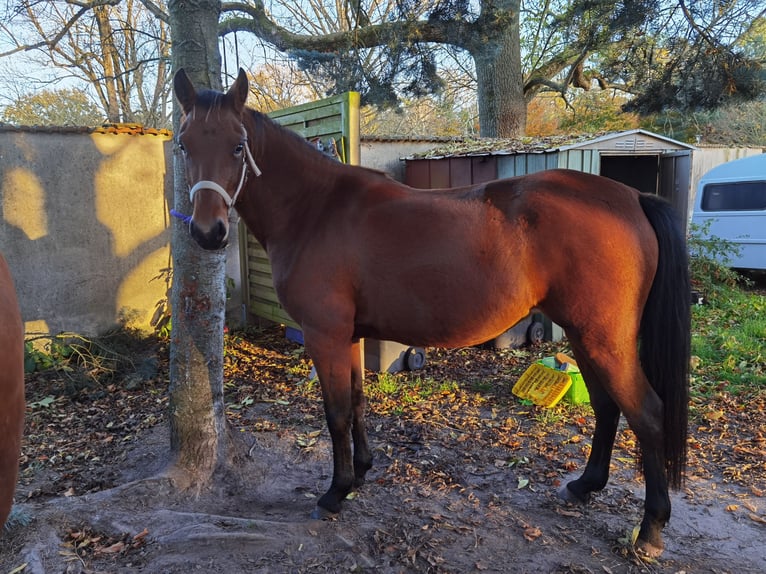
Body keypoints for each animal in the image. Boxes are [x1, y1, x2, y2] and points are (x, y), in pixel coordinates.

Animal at [177, 67, 692, 560]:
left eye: (238, 146)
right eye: (184, 144)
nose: (207, 232)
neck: (316, 209)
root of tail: (631, 198)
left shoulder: (325, 334)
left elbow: (336, 412)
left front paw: (335, 492)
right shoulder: (349, 336)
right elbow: (358, 401)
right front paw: (361, 472)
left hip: (604, 338)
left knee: (646, 414)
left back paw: (650, 529)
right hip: (583, 333)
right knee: (607, 408)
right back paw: (585, 486)